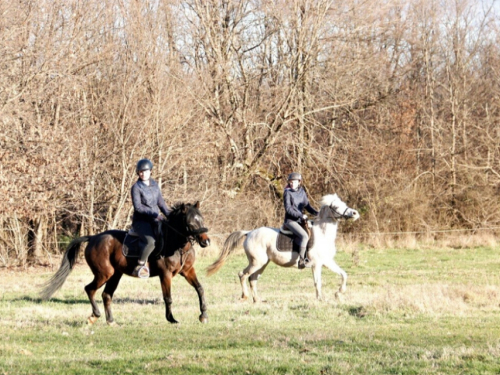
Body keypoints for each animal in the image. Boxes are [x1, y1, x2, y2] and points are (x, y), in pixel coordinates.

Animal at [40, 203, 210, 326]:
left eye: (201, 219)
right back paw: (95, 316)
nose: (206, 241)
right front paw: (171, 319)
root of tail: (93, 237)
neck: (177, 245)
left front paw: (203, 315)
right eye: (190, 223)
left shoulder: (188, 271)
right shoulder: (165, 275)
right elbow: (168, 297)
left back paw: (110, 321)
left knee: (106, 295)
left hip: (115, 275)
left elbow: (200, 289)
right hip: (104, 273)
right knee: (90, 289)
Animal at [207, 194, 360, 302]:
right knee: (243, 275)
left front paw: (338, 293)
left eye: (344, 204)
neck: (323, 235)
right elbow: (318, 282)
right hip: (257, 262)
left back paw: (257, 300)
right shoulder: (316, 264)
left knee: (253, 279)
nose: (354, 214)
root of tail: (249, 232)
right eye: (336, 206)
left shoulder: (327, 262)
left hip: (262, 263)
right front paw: (320, 299)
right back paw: (245, 296)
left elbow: (344, 274)